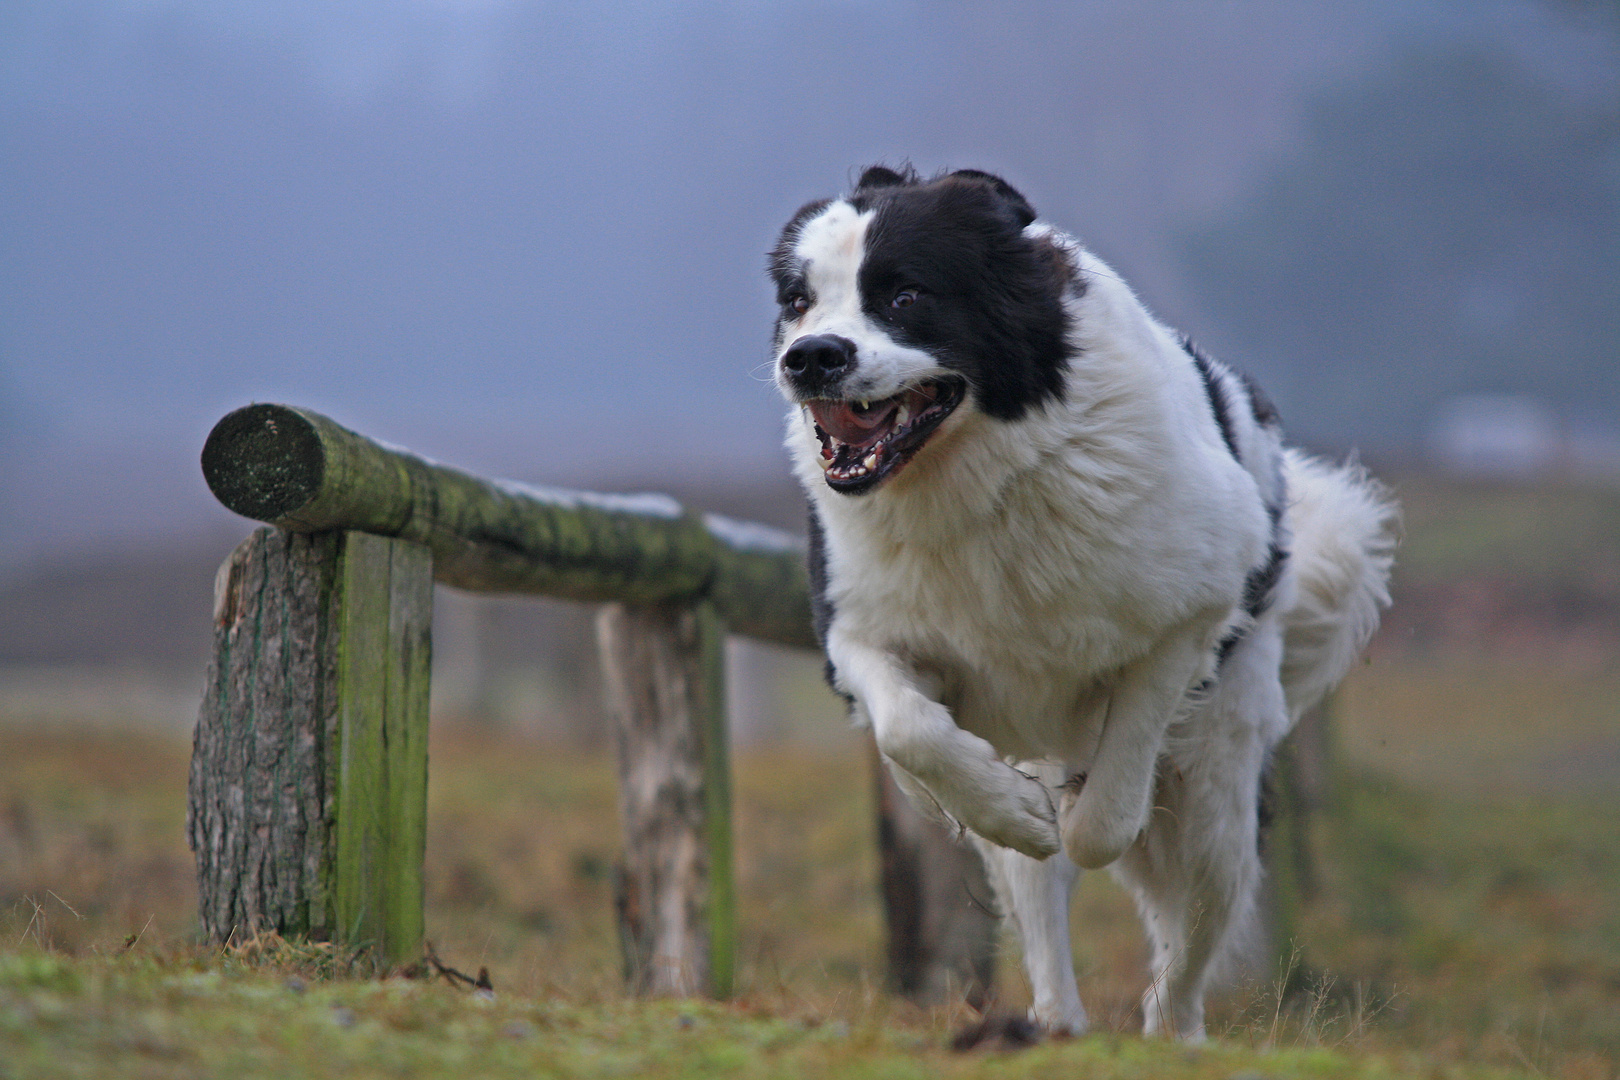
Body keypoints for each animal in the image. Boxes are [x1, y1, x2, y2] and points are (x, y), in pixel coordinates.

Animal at [767, 166, 1393, 1036]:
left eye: (905, 295)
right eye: (799, 300)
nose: (810, 357)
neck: (986, 474)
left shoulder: (1190, 612)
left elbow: (1112, 801)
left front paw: (1085, 817)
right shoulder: (856, 624)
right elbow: (910, 730)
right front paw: (1008, 806)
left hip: (1220, 795)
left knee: (1193, 929)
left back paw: (1171, 1030)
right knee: (1037, 895)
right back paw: (1055, 1023)